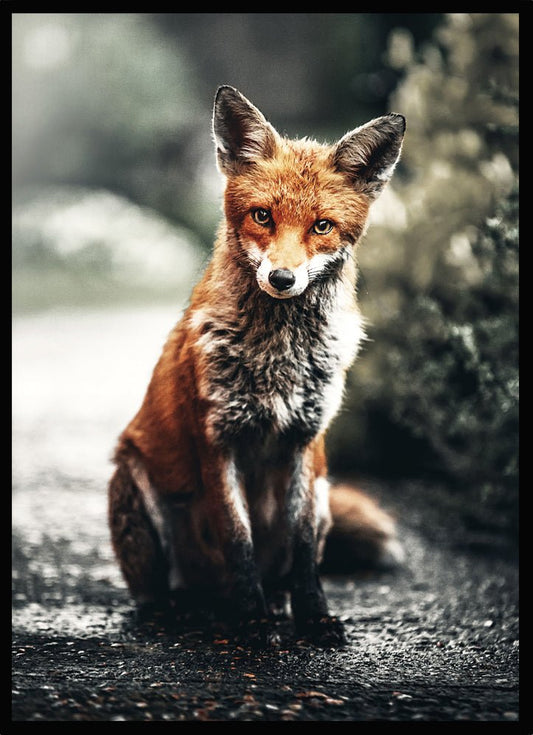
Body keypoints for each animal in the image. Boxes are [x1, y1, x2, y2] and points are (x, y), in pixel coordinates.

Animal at [108, 86, 405, 647]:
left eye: (322, 226)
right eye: (263, 216)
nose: (283, 279)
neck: (278, 358)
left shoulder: (306, 443)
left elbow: (304, 549)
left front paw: (313, 616)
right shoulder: (217, 439)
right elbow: (237, 539)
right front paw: (251, 622)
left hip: (325, 492)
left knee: (284, 570)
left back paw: (275, 604)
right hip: (134, 484)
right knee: (161, 592)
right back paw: (184, 610)